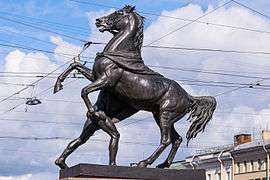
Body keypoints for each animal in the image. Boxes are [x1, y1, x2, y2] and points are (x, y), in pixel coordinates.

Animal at [53, 5, 216, 169]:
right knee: (177, 139)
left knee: (166, 140)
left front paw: (93, 110)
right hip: (161, 116)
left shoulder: (106, 80)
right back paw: (163, 164)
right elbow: (75, 65)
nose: (99, 21)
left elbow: (84, 90)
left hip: (165, 115)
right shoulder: (95, 77)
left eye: (118, 13)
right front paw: (58, 85)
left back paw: (143, 163)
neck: (119, 53)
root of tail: (189, 97)